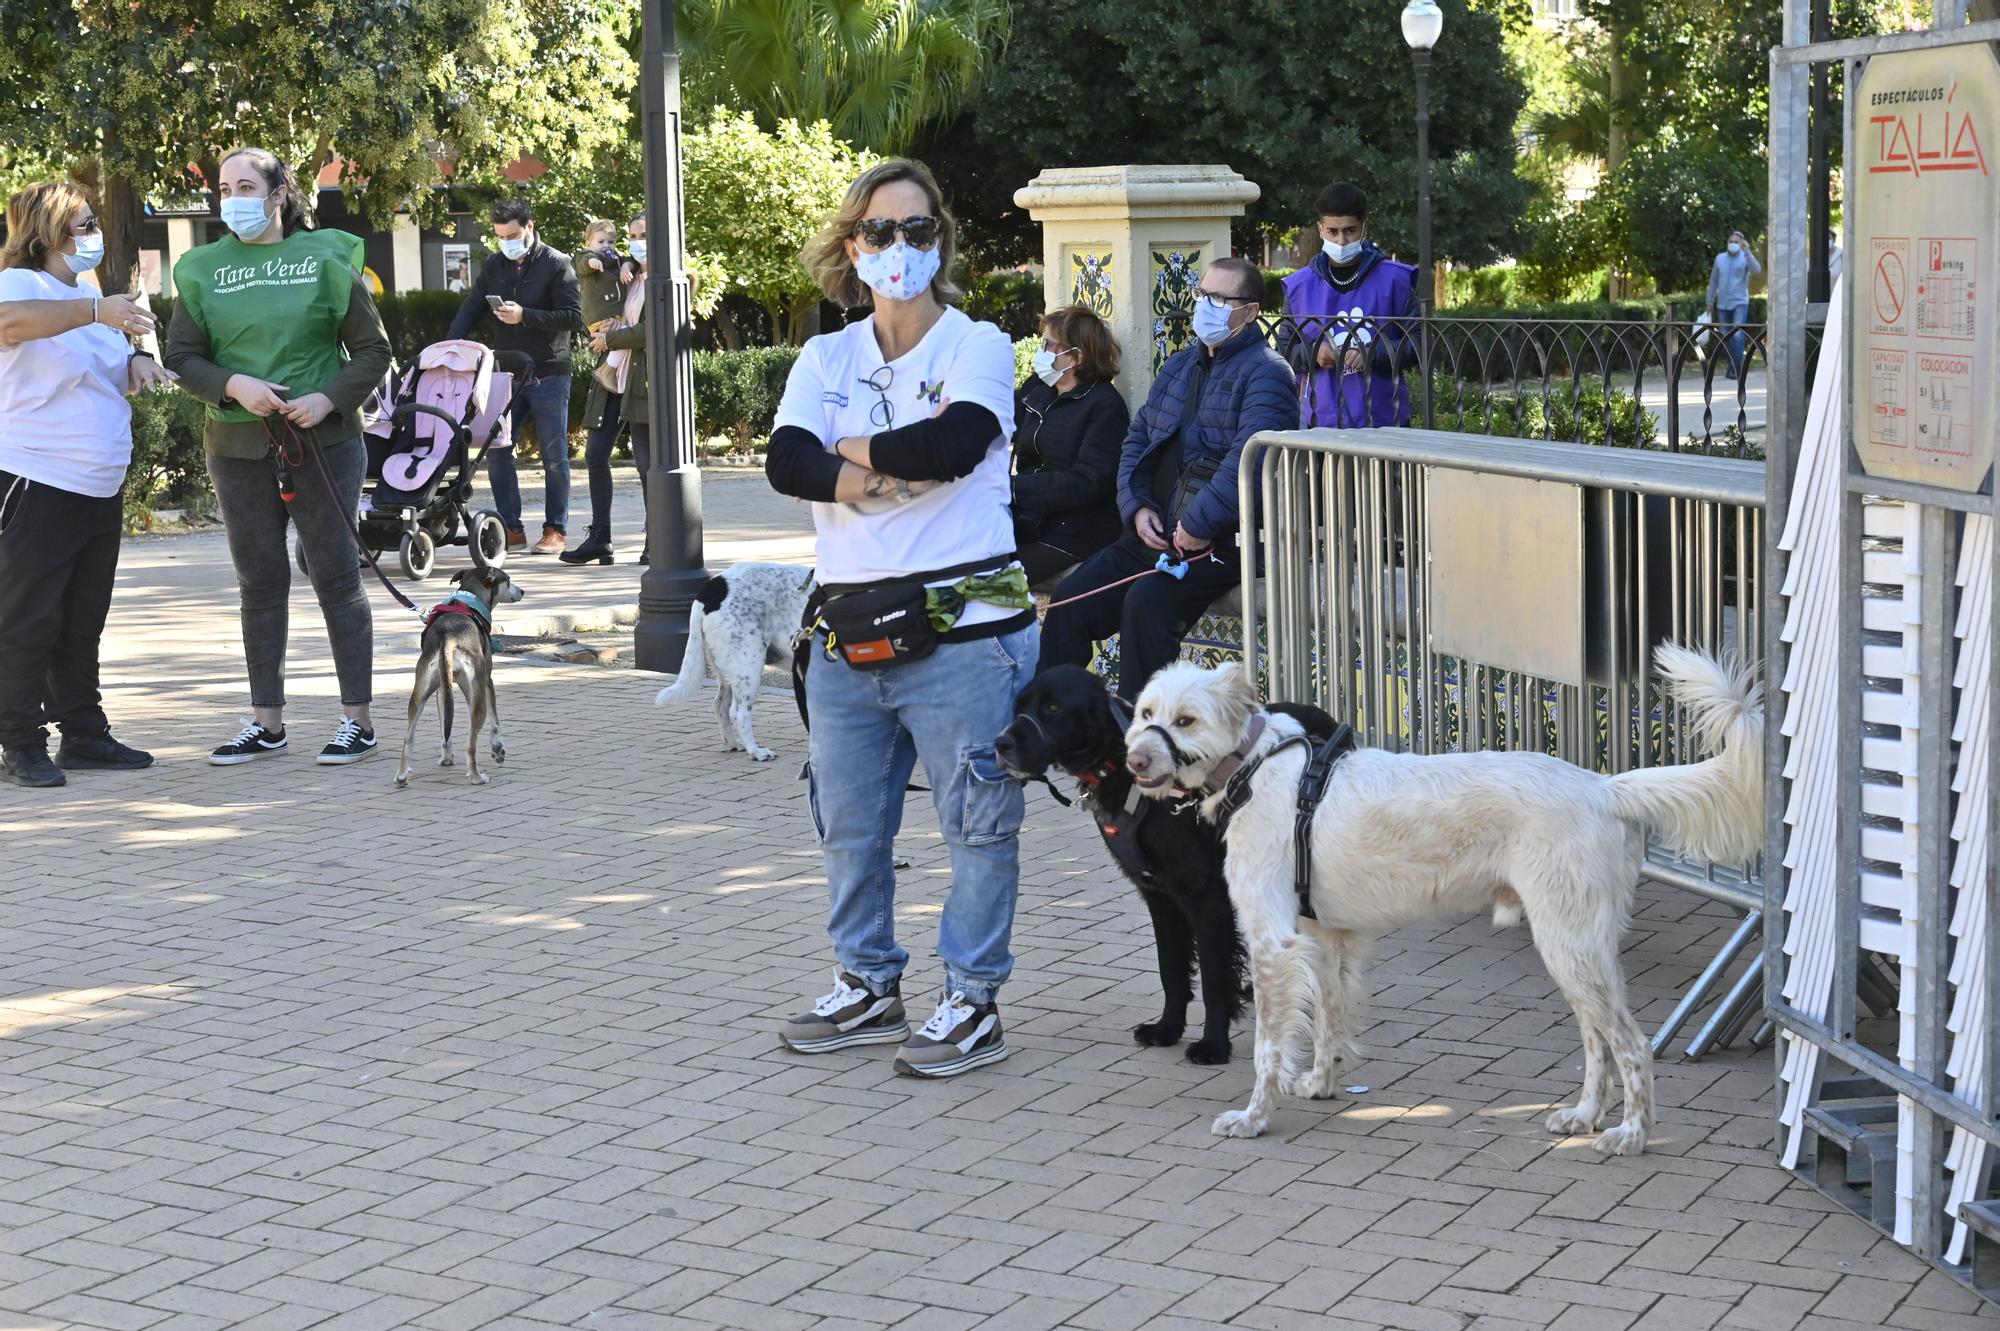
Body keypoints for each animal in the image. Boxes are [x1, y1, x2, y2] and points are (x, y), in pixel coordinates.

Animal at [656, 555, 812, 755]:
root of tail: (711, 588)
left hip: (729, 670)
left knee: (720, 705)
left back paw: (733, 743)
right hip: (749, 666)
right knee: (740, 713)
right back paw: (756, 752)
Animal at [996, 663, 1336, 1055]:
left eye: (1053, 708)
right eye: (1019, 704)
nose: (1000, 744)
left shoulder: (1207, 897)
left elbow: (1213, 979)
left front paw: (1213, 1045)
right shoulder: (1159, 895)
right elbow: (1170, 969)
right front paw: (1167, 1029)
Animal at [1128, 643, 1768, 1151]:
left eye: (1186, 720)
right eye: (1145, 713)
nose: (1134, 759)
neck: (1258, 767)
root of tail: (1604, 787)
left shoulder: (1272, 942)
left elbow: (1266, 1049)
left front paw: (1255, 1118)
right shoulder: (1326, 935)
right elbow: (1330, 1018)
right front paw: (1323, 1084)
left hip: (1570, 945)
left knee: (1632, 1046)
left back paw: (1630, 1135)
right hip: (1578, 948)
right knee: (1597, 1042)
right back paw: (1585, 1116)